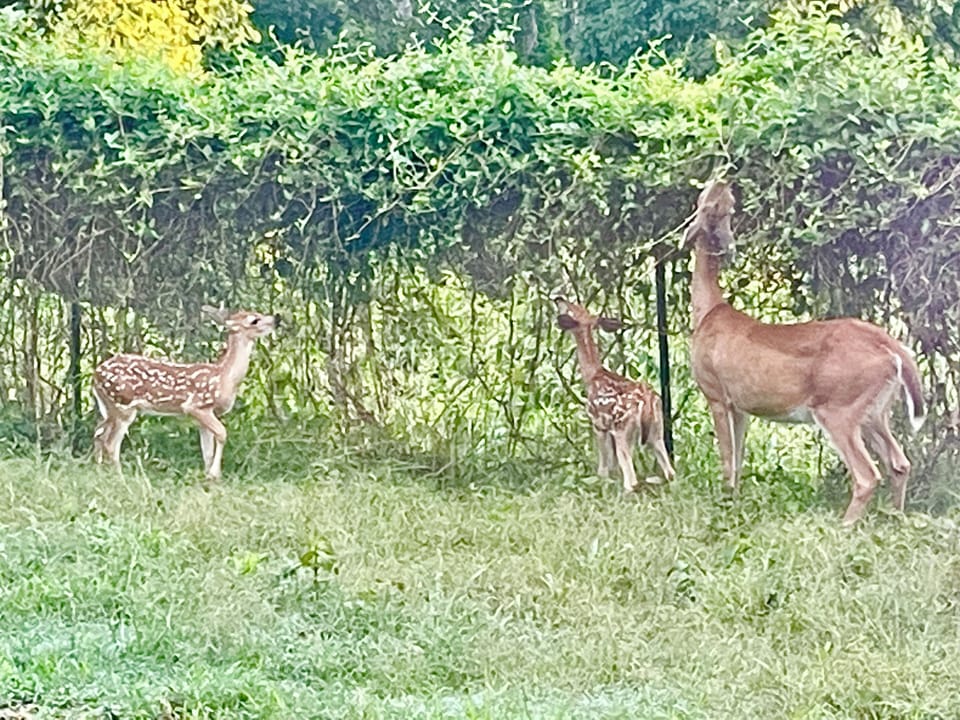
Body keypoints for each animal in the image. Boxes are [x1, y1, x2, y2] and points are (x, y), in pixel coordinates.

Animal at [92, 306, 280, 481]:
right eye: (254, 320)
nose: (276, 318)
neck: (225, 376)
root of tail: (95, 374)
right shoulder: (196, 405)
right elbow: (222, 434)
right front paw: (215, 475)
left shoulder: (205, 416)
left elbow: (207, 451)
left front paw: (208, 477)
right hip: (123, 405)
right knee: (110, 443)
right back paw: (121, 478)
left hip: (109, 408)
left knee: (98, 433)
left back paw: (100, 472)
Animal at [555, 297, 675, 492]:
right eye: (579, 307)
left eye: (572, 308)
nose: (558, 298)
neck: (593, 375)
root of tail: (647, 401)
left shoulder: (598, 423)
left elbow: (603, 465)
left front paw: (601, 481)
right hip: (657, 429)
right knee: (670, 472)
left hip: (622, 429)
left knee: (631, 480)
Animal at [684, 179, 925, 524]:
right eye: (724, 204)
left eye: (707, 201)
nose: (723, 180)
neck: (707, 311)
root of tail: (893, 348)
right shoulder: (740, 405)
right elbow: (739, 460)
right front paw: (735, 501)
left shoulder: (715, 392)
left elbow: (728, 460)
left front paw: (725, 502)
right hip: (876, 411)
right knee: (900, 462)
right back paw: (895, 517)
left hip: (838, 407)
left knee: (867, 475)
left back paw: (846, 525)